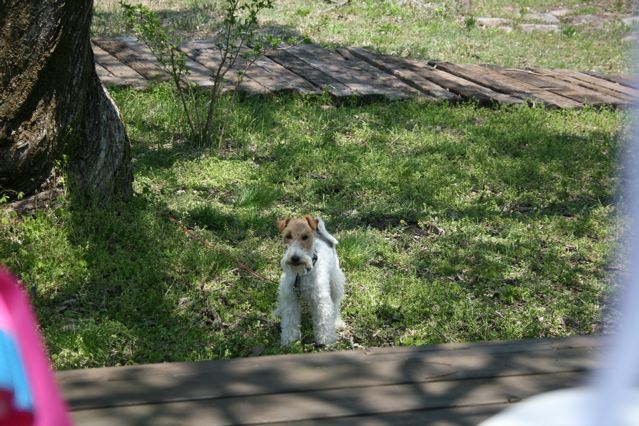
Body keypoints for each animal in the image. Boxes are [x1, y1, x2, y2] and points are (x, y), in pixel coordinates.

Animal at [276, 216, 344, 346]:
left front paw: (325, 339)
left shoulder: (320, 298)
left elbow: (323, 319)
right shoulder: (290, 298)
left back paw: (337, 322)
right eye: (288, 236)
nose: (295, 258)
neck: (302, 274)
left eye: (305, 237)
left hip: (336, 283)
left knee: (336, 306)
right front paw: (289, 339)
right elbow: (289, 320)